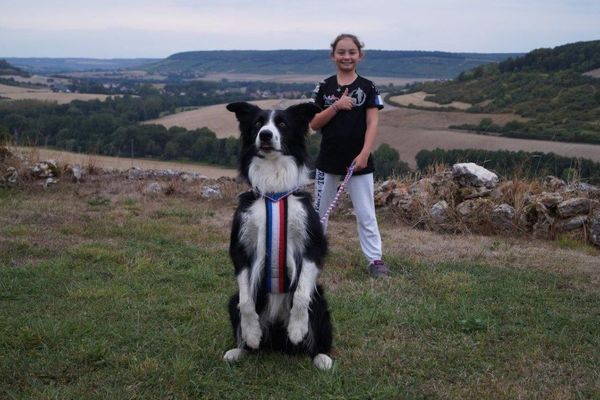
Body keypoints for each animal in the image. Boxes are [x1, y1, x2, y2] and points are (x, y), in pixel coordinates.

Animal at [223, 101, 332, 370]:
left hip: (321, 301)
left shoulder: (313, 245)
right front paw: (251, 333)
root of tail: (278, 343)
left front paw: (297, 329)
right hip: (231, 301)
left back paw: (320, 356)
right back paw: (240, 350)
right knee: (239, 305)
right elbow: (246, 301)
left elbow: (301, 293)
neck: (273, 192)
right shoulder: (241, 247)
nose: (265, 135)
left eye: (282, 124)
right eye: (257, 124)